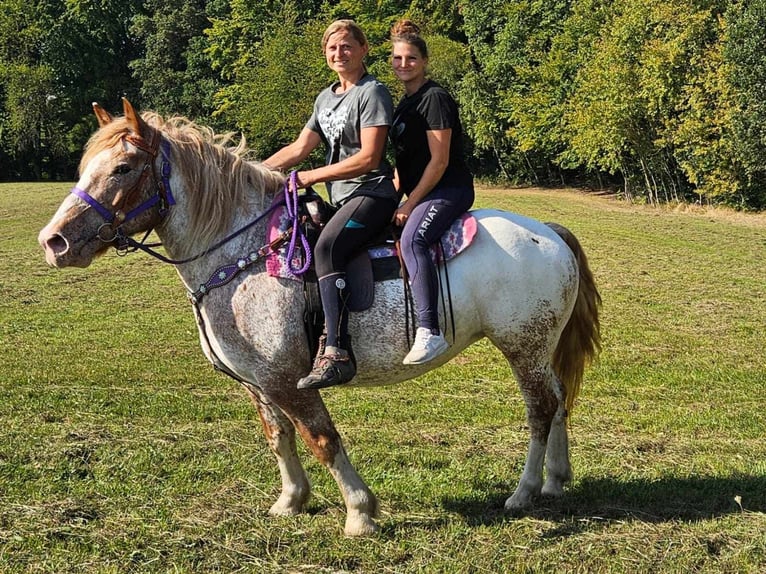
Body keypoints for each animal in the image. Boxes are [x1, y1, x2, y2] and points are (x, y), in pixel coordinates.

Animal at [39, 100, 604, 540]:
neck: (244, 255)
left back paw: (525, 491)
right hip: (539, 349)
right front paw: (291, 500)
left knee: (540, 410)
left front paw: (359, 512)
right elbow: (278, 437)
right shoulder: (257, 381)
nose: (54, 241)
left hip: (522, 346)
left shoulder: (289, 378)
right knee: (559, 401)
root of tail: (546, 231)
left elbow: (321, 438)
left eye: (123, 168)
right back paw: (556, 479)